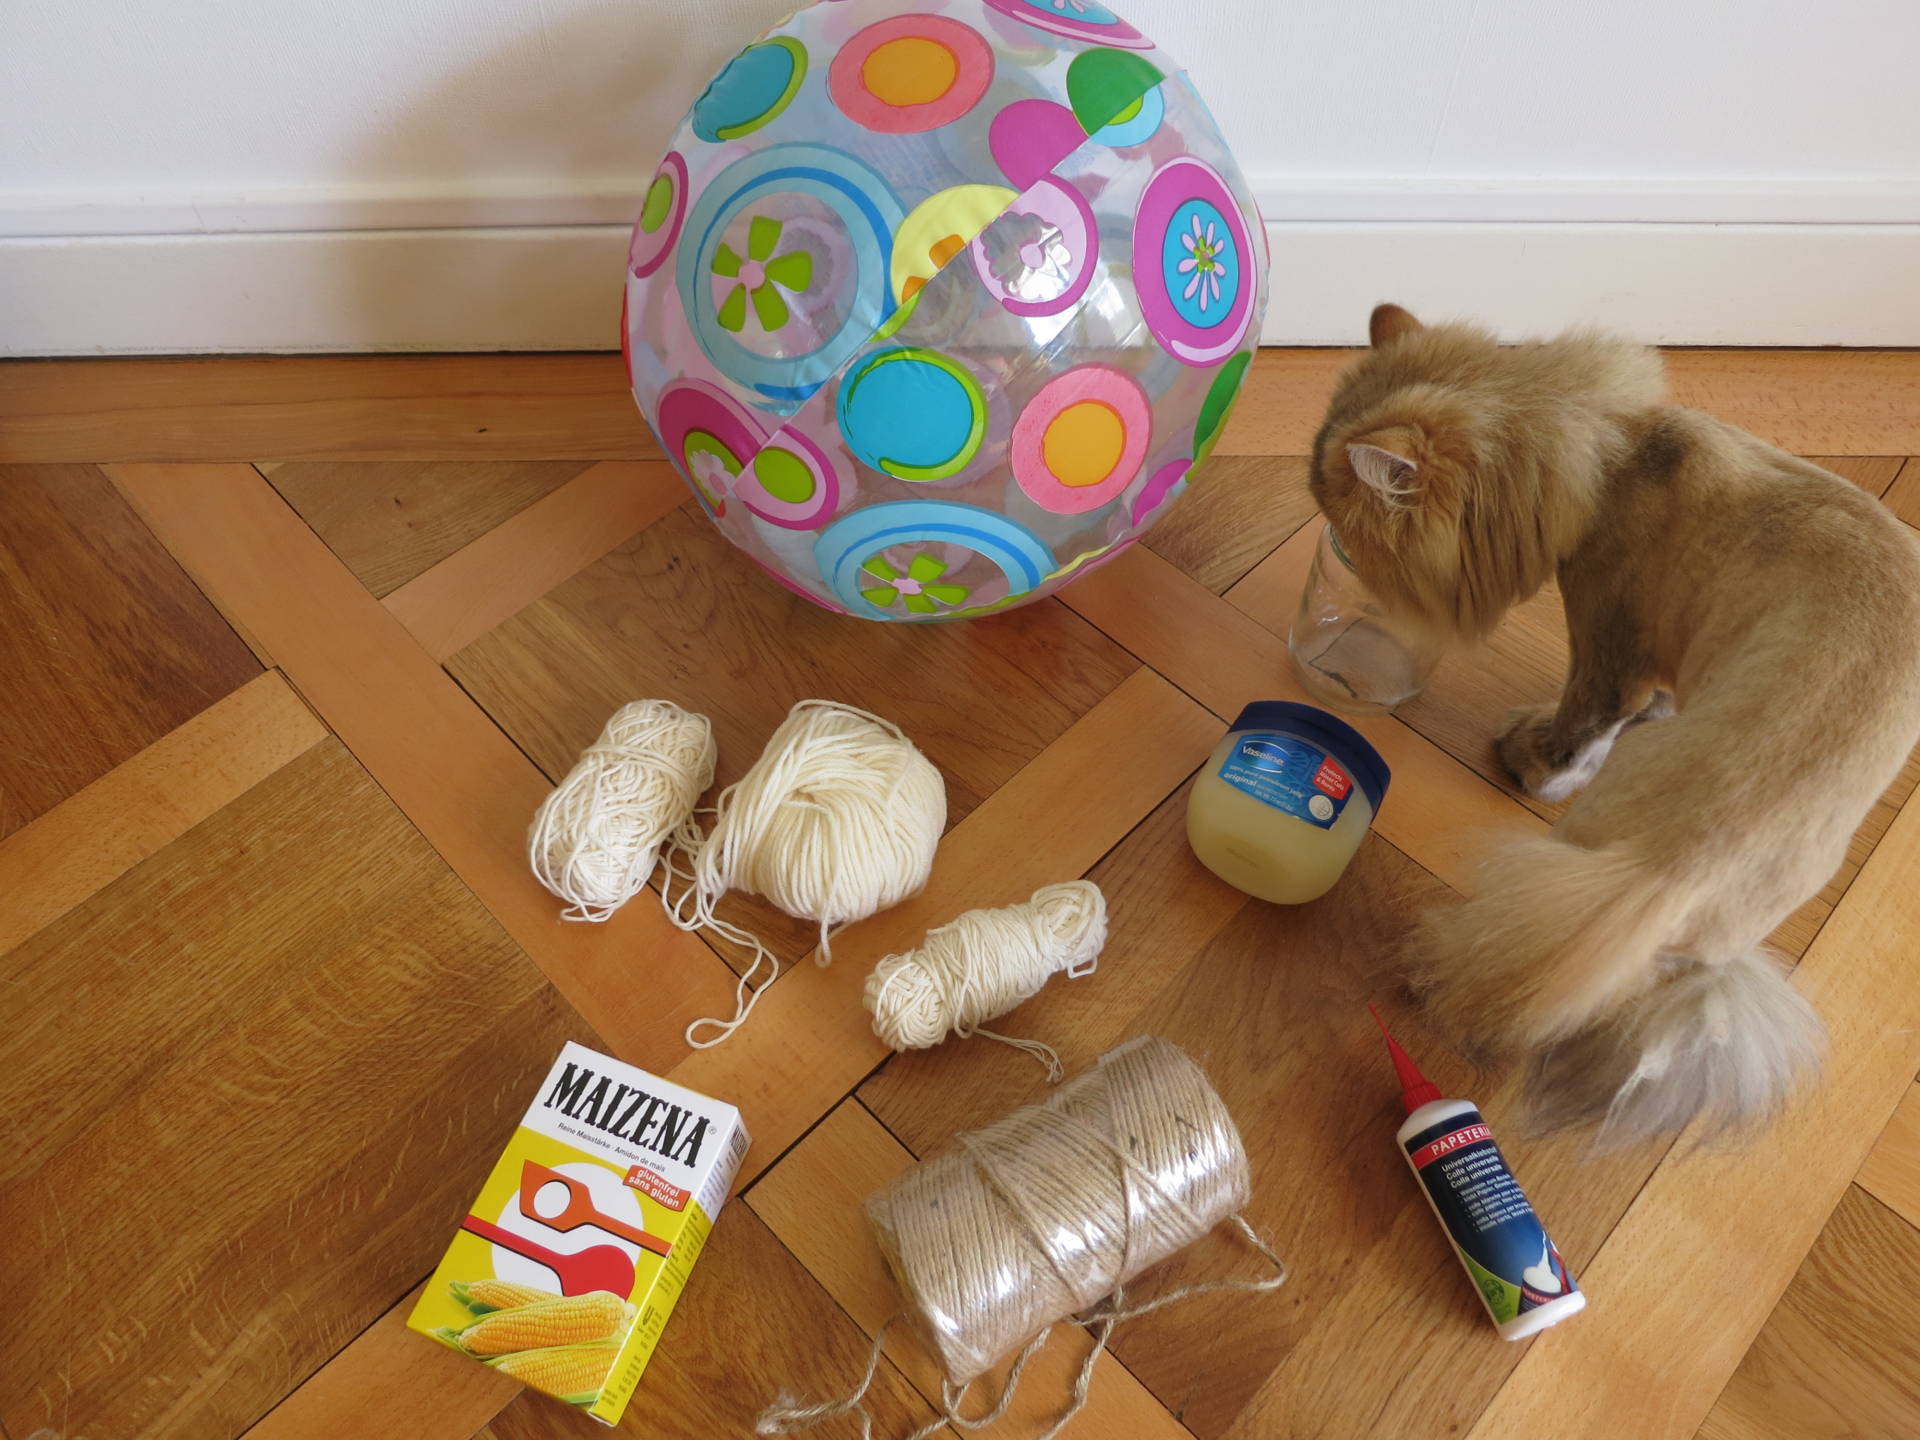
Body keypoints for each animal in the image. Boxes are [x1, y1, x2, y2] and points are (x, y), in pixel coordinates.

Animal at [1313, 301, 1920, 1136]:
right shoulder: (1657, 659)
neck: (1612, 451)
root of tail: (1676, 868)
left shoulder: (1608, 646)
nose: (1330, 537)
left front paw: (1533, 758)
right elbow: (1636, 707)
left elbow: (1577, 730)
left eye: (1344, 518)